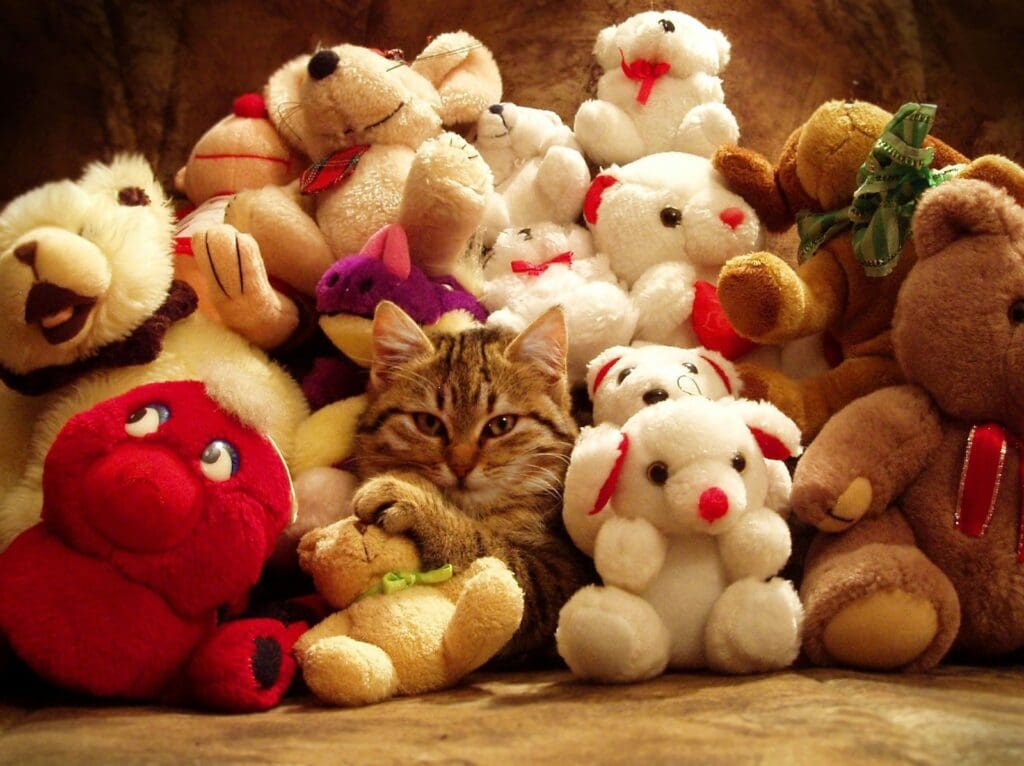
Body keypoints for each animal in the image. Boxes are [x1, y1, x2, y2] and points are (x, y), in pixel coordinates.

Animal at [352, 303, 593, 655]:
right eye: (428, 423)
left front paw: (415, 501)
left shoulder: (558, 576)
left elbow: (488, 548)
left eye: (501, 424)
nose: (461, 466)